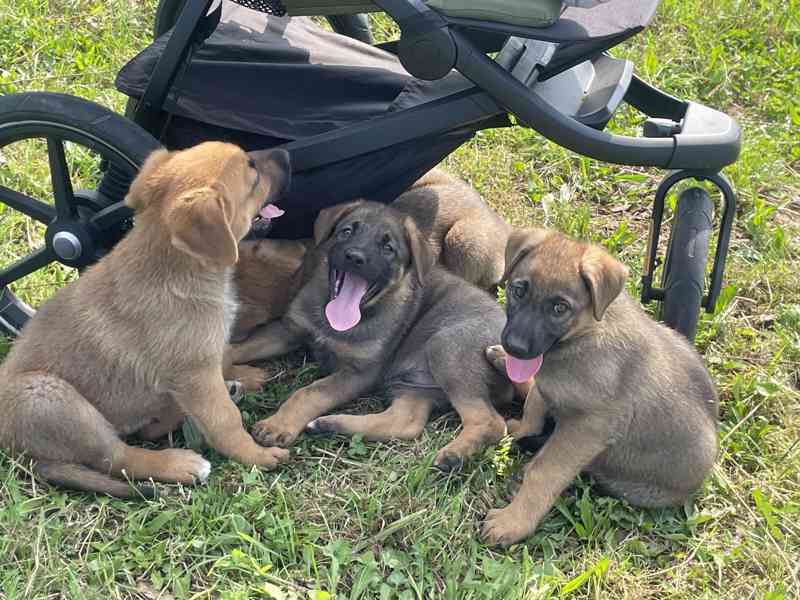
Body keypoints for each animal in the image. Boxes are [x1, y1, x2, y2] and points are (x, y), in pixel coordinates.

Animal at [0, 141, 292, 496]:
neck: (178, 267)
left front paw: (242, 374)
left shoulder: (204, 358)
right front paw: (256, 455)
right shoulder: (195, 373)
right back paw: (178, 463)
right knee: (119, 457)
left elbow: (225, 358)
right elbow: (226, 421)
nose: (288, 155)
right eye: (252, 172)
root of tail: (18, 452)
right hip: (54, 399)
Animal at [227, 202, 512, 468]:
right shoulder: (289, 330)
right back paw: (330, 425)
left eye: (388, 248)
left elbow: (310, 392)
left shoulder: (359, 372)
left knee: (491, 422)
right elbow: (236, 349)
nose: (355, 257)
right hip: (413, 385)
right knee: (405, 422)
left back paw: (455, 454)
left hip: (446, 347)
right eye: (347, 231)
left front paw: (278, 425)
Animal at [478, 227, 720, 548]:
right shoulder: (548, 385)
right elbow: (534, 404)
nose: (514, 347)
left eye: (559, 308)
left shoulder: (587, 429)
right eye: (519, 291)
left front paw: (513, 522)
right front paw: (522, 427)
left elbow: (545, 470)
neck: (585, 334)